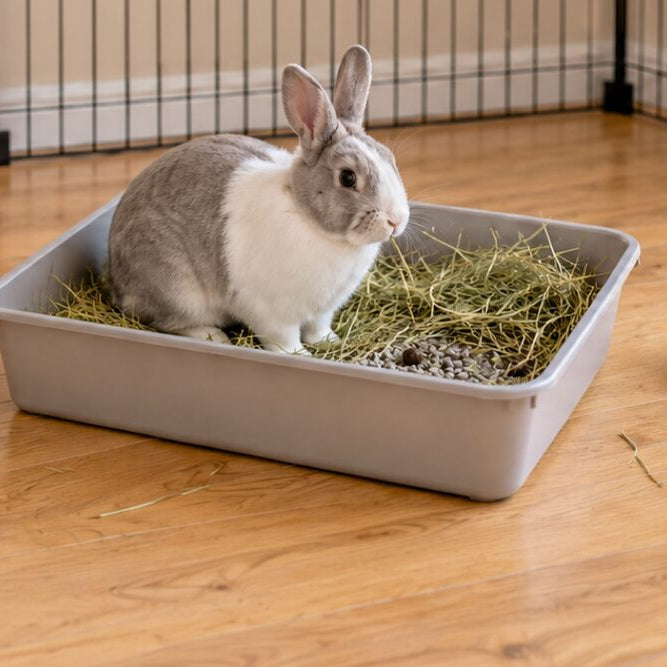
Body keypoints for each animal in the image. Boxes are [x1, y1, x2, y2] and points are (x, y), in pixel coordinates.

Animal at [107, 45, 410, 354]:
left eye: (390, 158)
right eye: (348, 178)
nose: (396, 221)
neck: (308, 219)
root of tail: (116, 280)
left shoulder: (323, 311)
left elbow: (318, 328)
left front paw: (328, 342)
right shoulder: (273, 313)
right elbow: (283, 339)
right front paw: (299, 355)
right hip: (177, 289)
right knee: (170, 321)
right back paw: (213, 336)